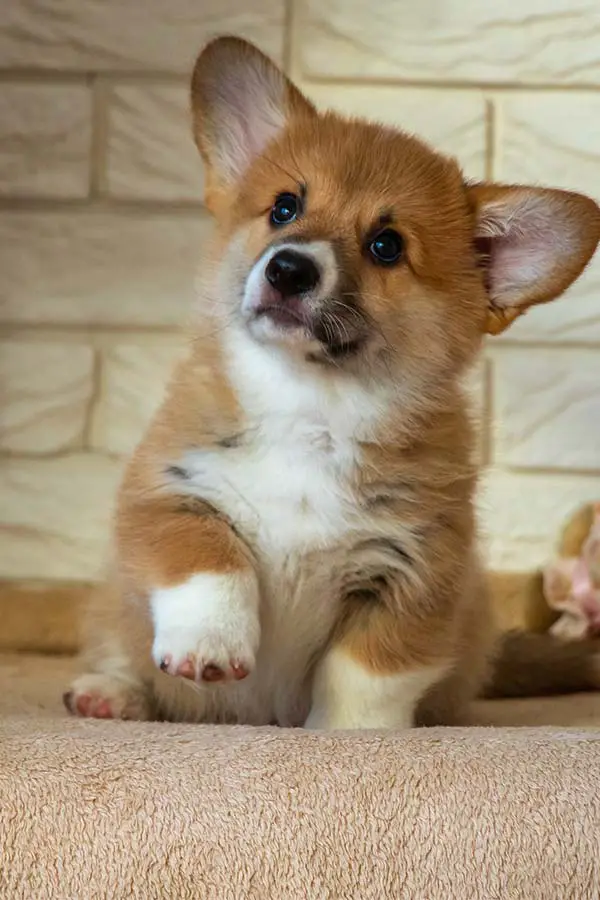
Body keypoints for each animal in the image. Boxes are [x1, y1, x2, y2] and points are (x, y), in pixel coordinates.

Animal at [65, 37, 600, 732]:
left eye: (386, 246)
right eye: (283, 208)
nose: (289, 269)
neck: (310, 406)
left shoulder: (414, 574)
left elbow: (365, 672)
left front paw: (349, 736)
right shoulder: (171, 494)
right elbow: (209, 563)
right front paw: (210, 644)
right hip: (115, 609)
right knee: (117, 646)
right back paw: (111, 693)